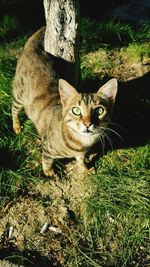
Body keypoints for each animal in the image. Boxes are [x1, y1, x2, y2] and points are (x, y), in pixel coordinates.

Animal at [11, 27, 118, 177]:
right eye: (76, 110)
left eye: (99, 110)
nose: (87, 124)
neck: (82, 143)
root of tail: (33, 48)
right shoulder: (47, 148)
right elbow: (46, 159)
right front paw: (48, 171)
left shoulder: (81, 154)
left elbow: (80, 160)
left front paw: (84, 169)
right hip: (19, 95)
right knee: (13, 108)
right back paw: (16, 126)